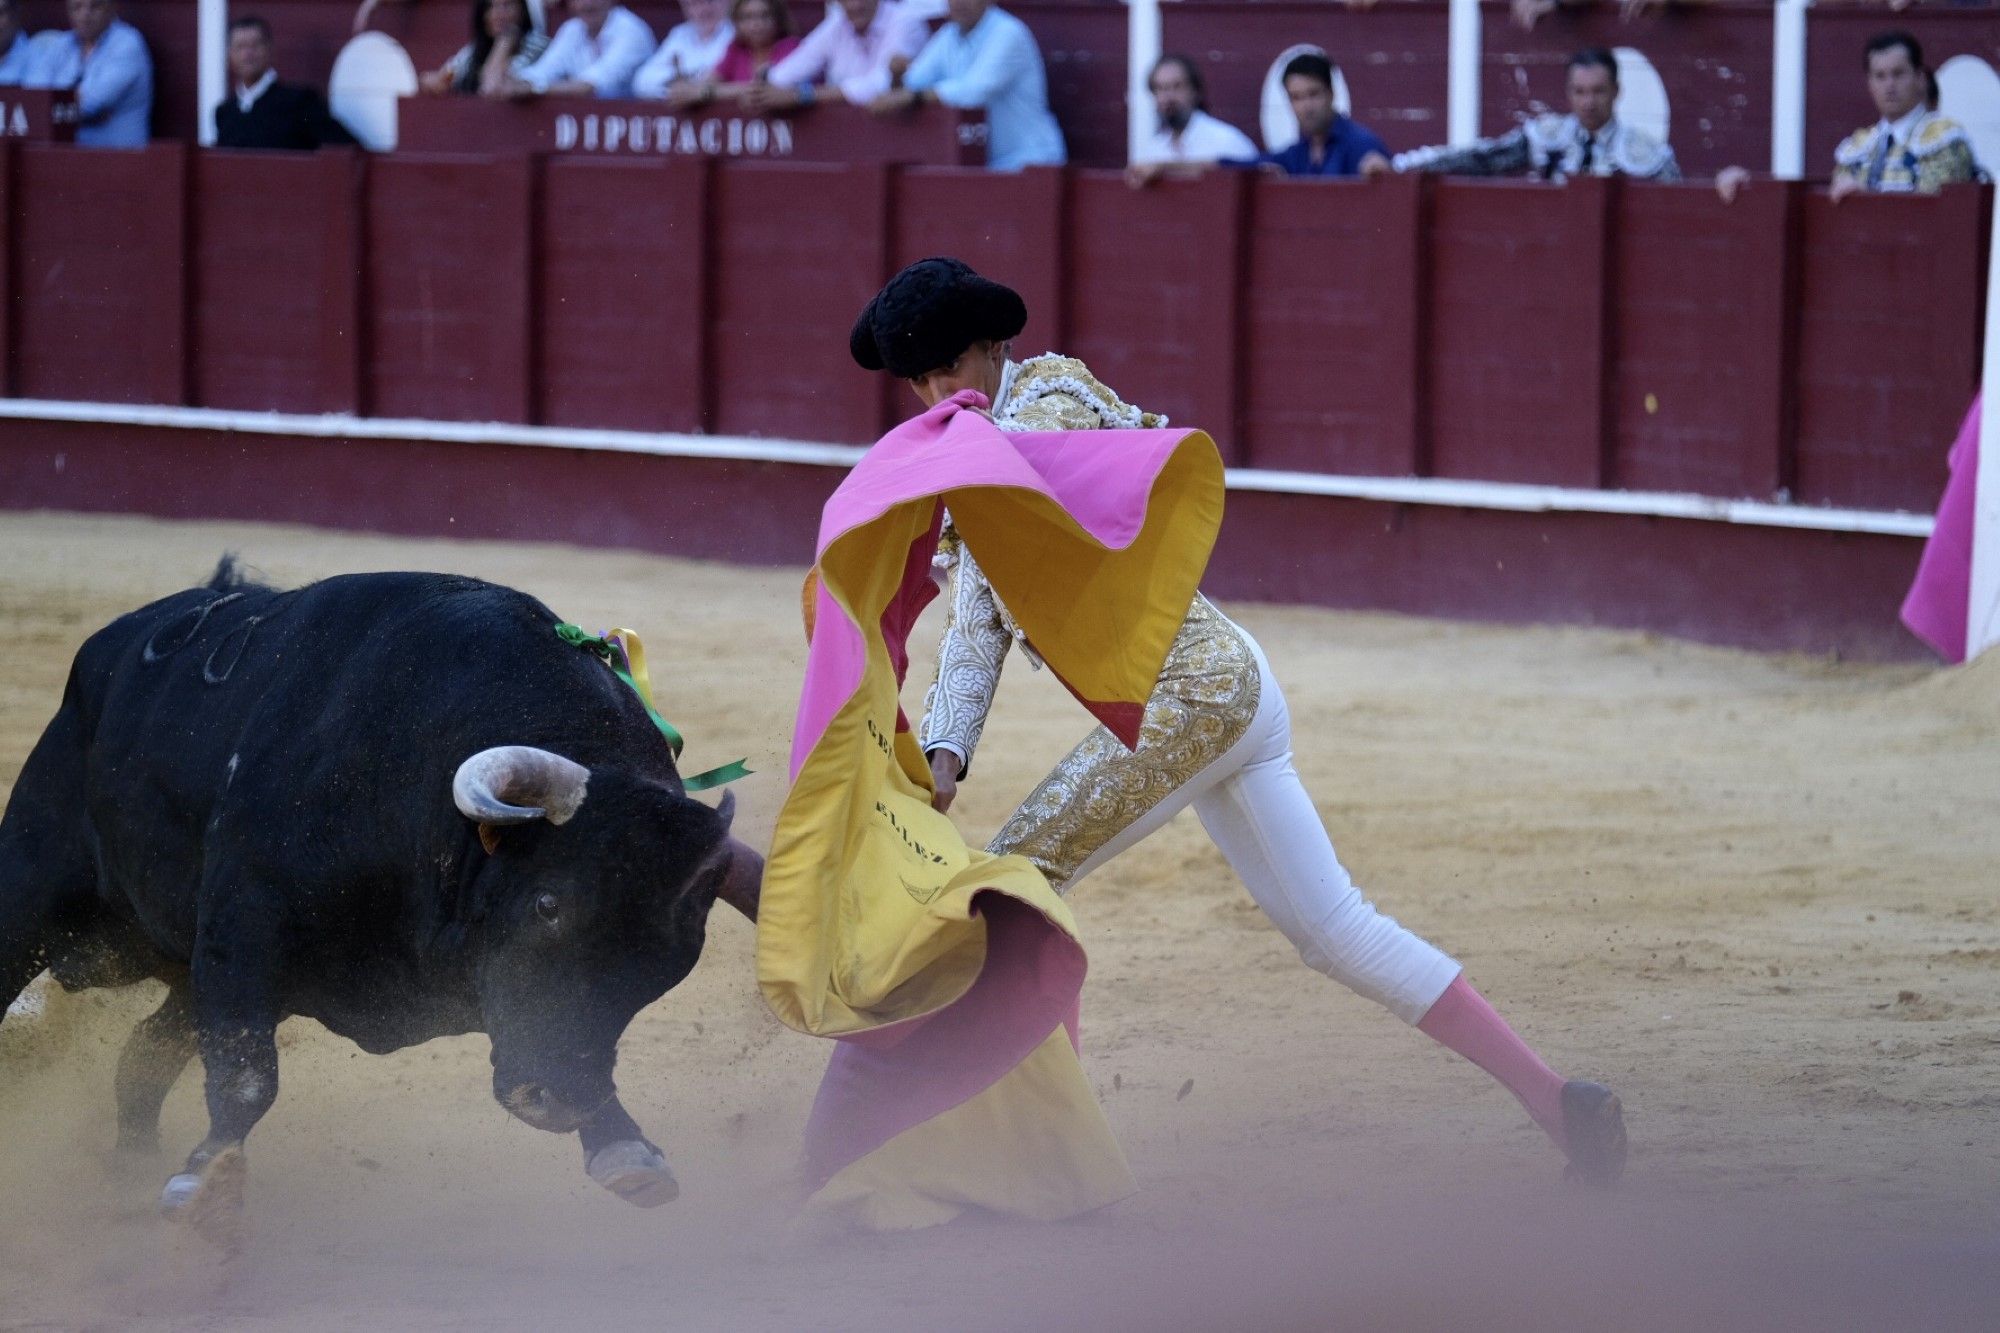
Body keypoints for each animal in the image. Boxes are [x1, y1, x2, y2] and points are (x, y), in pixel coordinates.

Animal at [0, 556, 760, 1240]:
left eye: (667, 963)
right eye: (548, 905)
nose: (554, 1102)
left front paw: (623, 1145)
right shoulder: (245, 920)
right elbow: (248, 1073)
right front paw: (206, 1182)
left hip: (186, 976)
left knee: (142, 1058)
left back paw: (128, 1167)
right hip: (33, 886)